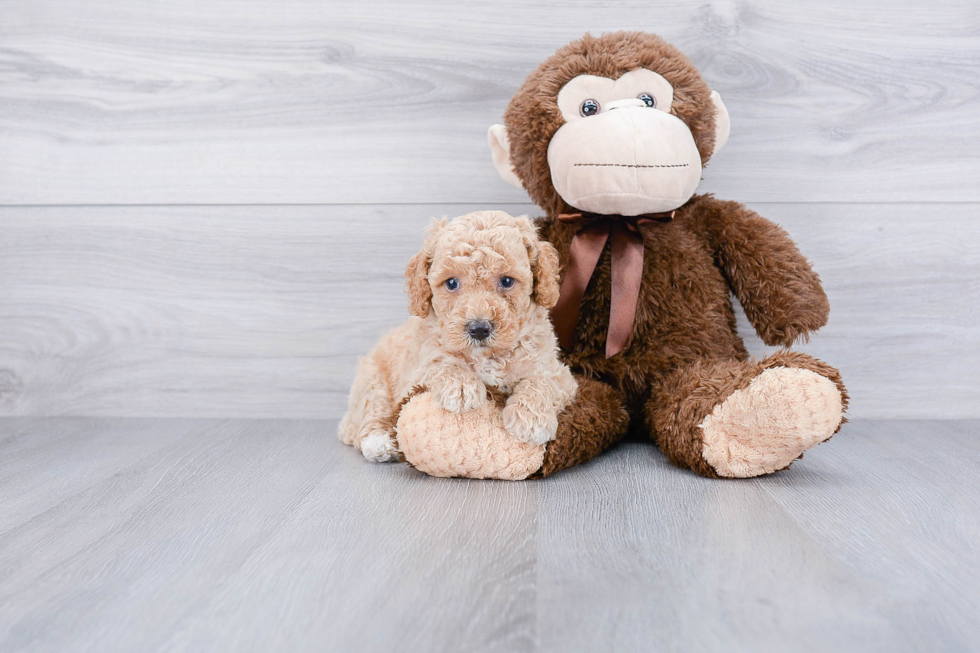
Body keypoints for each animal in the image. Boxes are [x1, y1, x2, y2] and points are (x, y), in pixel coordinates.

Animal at [340, 211, 580, 460]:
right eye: (452, 283)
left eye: (507, 281)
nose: (479, 329)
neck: (487, 356)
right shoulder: (417, 368)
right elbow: (439, 362)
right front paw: (462, 385)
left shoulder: (557, 371)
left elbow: (541, 381)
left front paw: (531, 419)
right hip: (371, 381)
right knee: (367, 415)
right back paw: (378, 442)